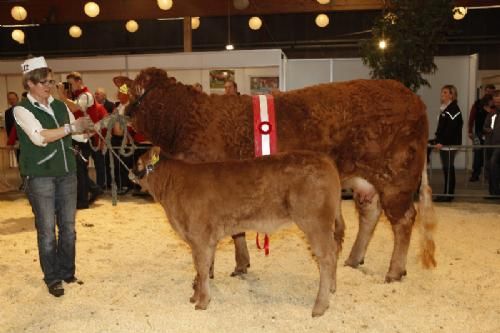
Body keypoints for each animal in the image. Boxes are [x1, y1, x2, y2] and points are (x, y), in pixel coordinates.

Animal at [118, 68, 438, 282]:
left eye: (136, 93)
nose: (123, 114)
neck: (185, 120)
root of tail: (413, 98)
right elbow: (237, 231)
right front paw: (240, 265)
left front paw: (207, 271)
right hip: (366, 178)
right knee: (370, 212)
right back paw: (353, 259)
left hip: (396, 176)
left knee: (404, 219)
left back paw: (394, 271)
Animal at [133, 148, 344, 316]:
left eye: (138, 163)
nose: (130, 173)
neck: (173, 185)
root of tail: (323, 158)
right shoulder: (205, 240)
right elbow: (203, 268)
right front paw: (196, 296)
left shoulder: (199, 237)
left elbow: (201, 268)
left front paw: (202, 301)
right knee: (334, 251)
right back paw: (332, 288)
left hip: (315, 223)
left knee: (327, 257)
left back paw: (319, 306)